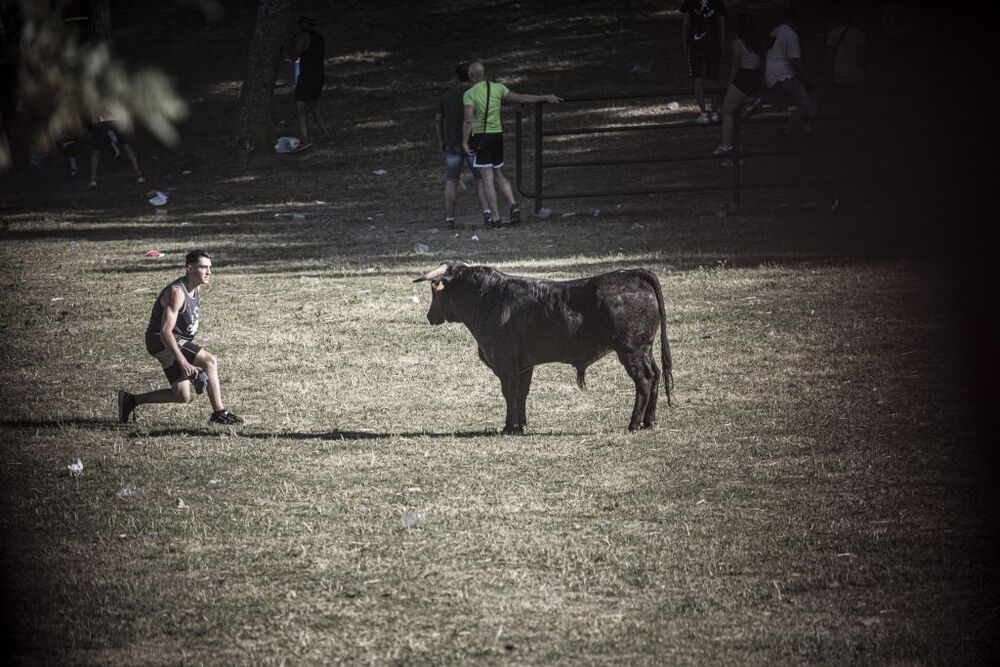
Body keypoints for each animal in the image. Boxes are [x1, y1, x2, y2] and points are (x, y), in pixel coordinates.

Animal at [414, 260, 672, 434]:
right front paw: (521, 425)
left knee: (644, 380)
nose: (429, 316)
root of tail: (633, 275)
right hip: (644, 349)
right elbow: (521, 393)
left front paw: (508, 427)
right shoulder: (525, 365)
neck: (488, 298)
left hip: (631, 350)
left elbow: (509, 392)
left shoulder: (506, 364)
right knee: (656, 375)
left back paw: (634, 424)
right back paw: (649, 422)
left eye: (435, 288)